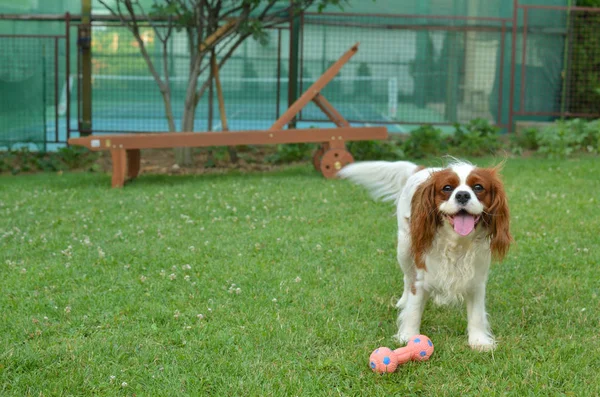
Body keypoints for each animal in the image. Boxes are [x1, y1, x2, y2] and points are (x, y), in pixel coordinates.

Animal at [340, 159, 512, 348]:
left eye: (478, 187)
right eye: (447, 188)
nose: (462, 195)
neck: (457, 243)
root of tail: (422, 168)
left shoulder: (477, 280)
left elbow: (477, 314)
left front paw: (479, 341)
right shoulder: (421, 275)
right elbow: (414, 309)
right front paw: (408, 336)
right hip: (404, 247)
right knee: (407, 277)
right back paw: (403, 301)